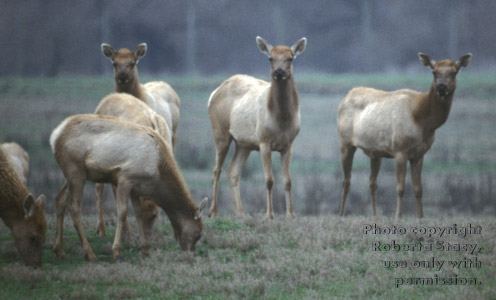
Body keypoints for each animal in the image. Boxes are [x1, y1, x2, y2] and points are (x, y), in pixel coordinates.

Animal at [206, 36, 306, 219]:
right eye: (270, 58)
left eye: (290, 58)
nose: (279, 72)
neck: (282, 120)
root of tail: (213, 94)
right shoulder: (264, 140)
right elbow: (269, 180)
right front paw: (269, 215)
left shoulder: (288, 144)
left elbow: (288, 181)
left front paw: (290, 214)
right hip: (220, 132)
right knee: (216, 169)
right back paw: (213, 212)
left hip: (244, 144)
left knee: (232, 171)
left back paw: (241, 213)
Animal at [338, 52, 472, 218]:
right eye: (434, 72)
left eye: (454, 72)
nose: (441, 86)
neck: (423, 122)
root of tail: (346, 96)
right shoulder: (400, 149)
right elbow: (400, 188)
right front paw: (398, 216)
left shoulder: (419, 154)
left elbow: (418, 189)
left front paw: (421, 217)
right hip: (345, 142)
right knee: (346, 180)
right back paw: (341, 214)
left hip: (376, 152)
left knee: (372, 182)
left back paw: (375, 215)